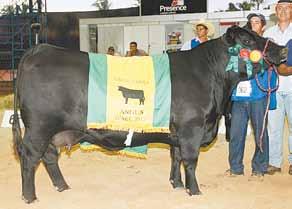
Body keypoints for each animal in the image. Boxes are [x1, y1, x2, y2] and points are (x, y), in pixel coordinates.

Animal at [12, 25, 288, 202]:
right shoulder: (192, 128)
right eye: (248, 41)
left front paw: (176, 184)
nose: (283, 50)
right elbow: (190, 160)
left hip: (52, 130)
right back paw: (29, 197)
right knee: (30, 157)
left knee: (48, 157)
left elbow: (176, 157)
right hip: (39, 127)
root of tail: (39, 49)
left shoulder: (178, 133)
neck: (214, 78)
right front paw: (194, 190)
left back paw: (62, 187)